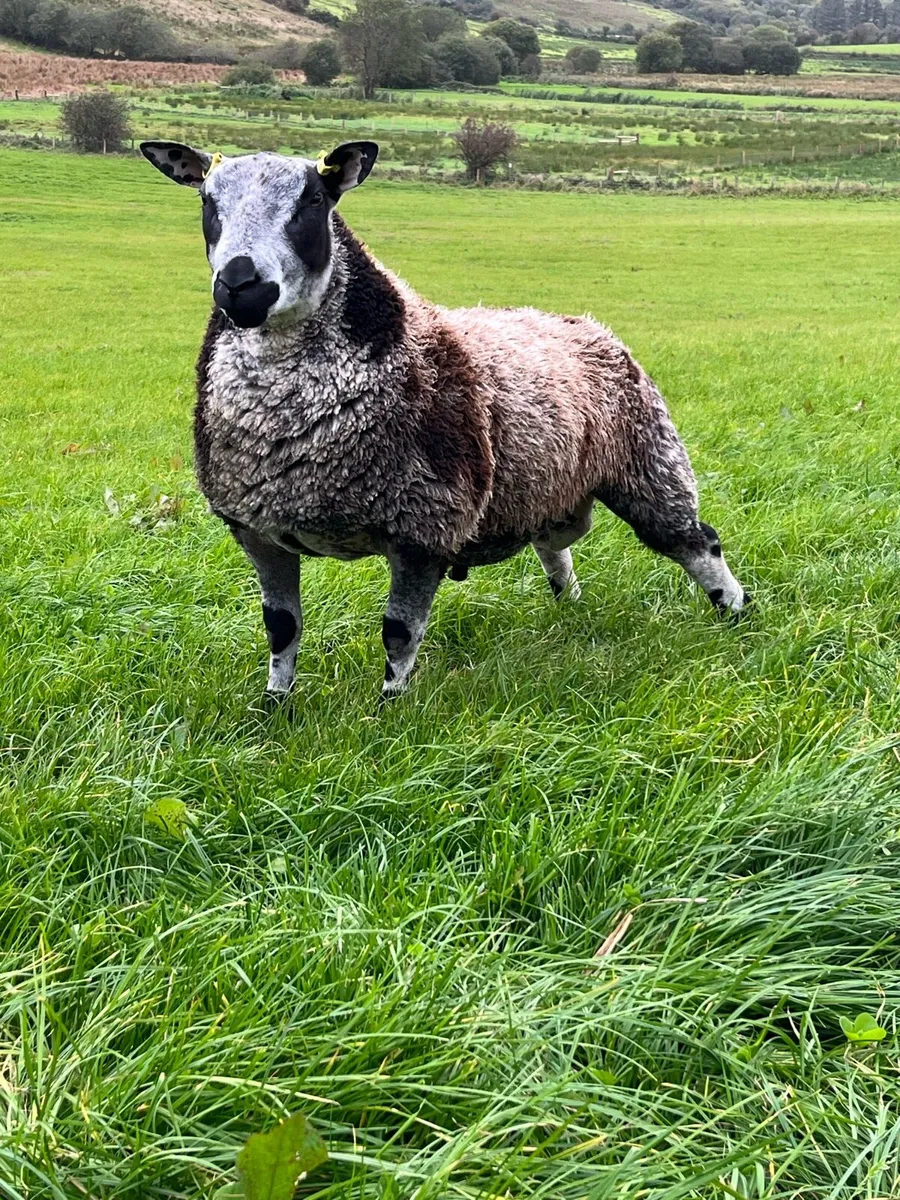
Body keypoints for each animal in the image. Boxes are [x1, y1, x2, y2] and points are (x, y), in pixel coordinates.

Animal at [140, 139, 749, 700]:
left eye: (313, 200)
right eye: (207, 201)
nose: (242, 287)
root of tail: (587, 325)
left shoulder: (424, 527)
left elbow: (398, 633)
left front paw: (388, 712)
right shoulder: (259, 531)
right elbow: (281, 629)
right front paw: (274, 710)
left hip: (649, 463)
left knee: (698, 542)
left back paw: (737, 615)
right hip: (544, 488)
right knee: (556, 548)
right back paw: (569, 610)